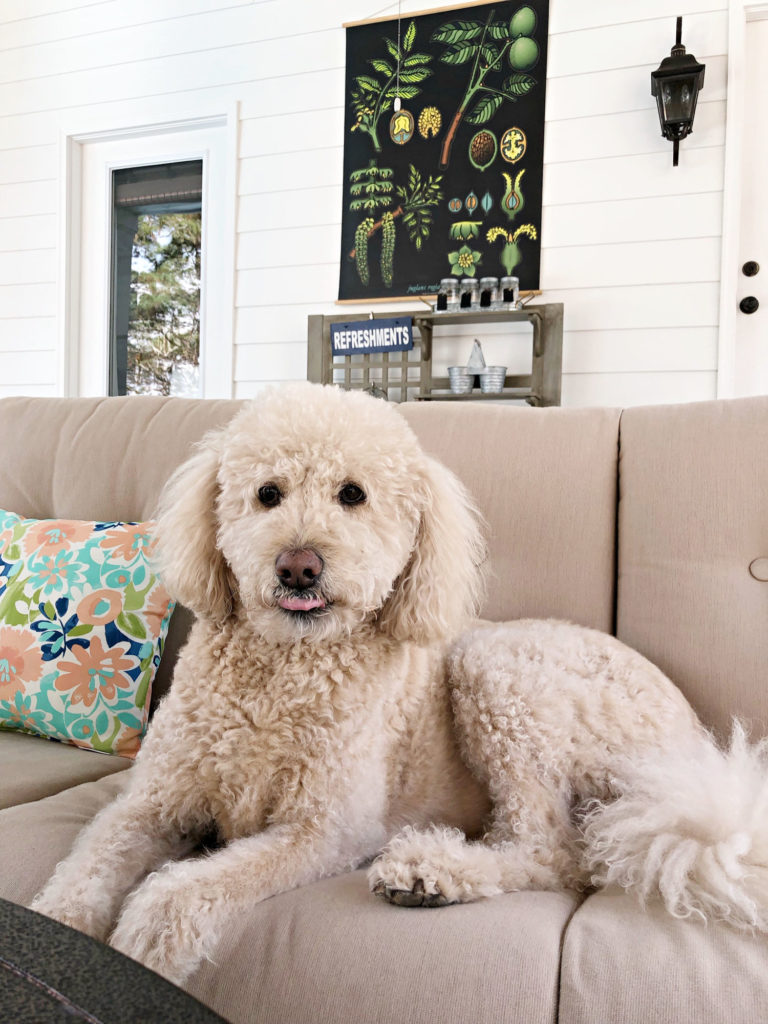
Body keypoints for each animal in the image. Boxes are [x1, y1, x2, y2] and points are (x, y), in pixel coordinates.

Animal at [33, 382, 768, 983]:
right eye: (268, 493)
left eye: (352, 495)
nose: (298, 566)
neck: (283, 672)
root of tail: (694, 746)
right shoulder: (150, 803)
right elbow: (87, 866)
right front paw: (58, 927)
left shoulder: (325, 831)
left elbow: (185, 888)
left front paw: (144, 941)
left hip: (495, 670)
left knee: (553, 850)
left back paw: (429, 872)